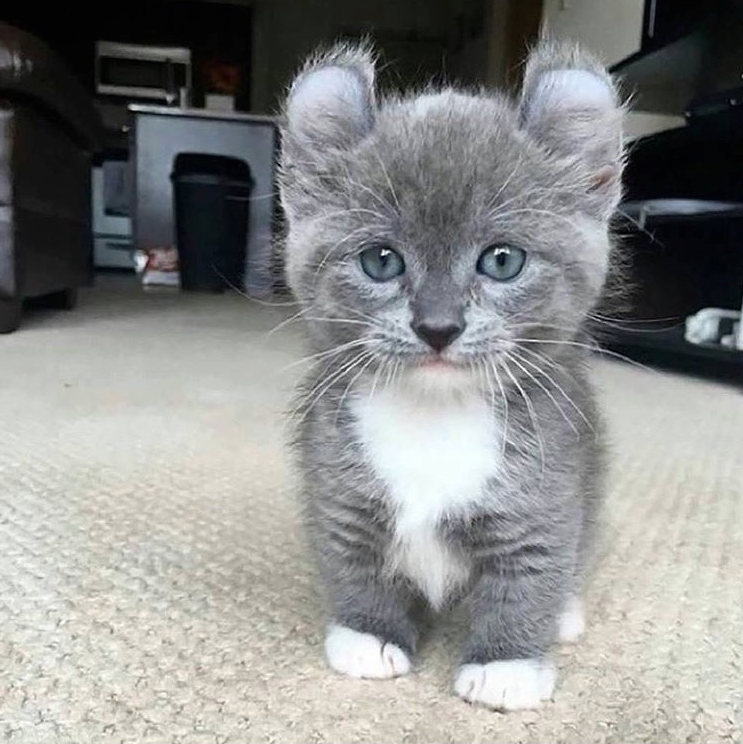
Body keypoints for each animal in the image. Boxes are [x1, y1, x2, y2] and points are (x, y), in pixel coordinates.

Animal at [280, 39, 628, 708]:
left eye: (502, 260)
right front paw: (366, 636)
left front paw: (508, 666)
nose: (438, 326)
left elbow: (533, 572)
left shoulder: (544, 492)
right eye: (380, 260)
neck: (433, 414)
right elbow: (350, 557)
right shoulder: (336, 480)